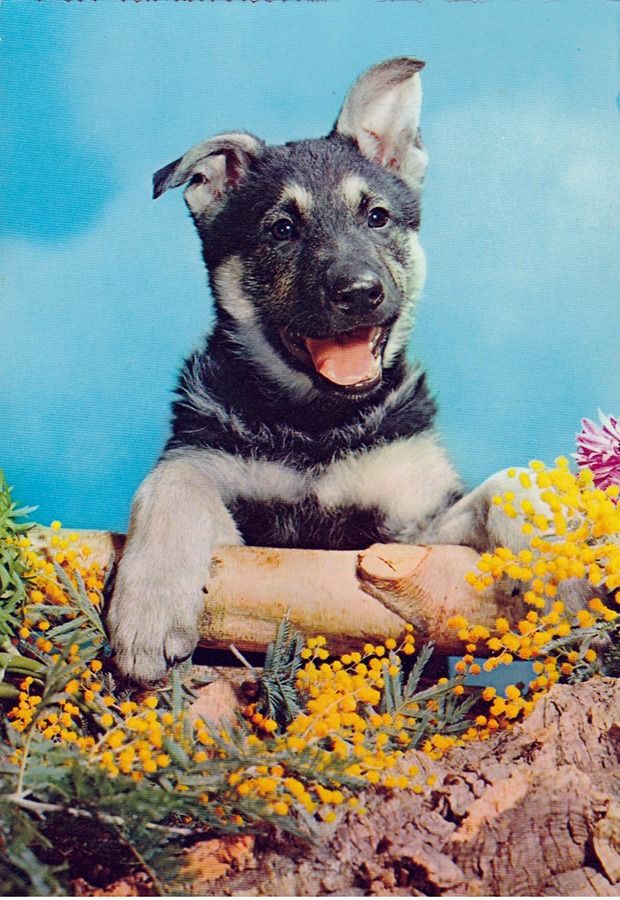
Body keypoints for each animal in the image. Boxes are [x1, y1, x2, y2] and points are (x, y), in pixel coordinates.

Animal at [108, 58, 537, 683]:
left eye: (378, 217)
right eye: (282, 228)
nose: (359, 293)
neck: (316, 424)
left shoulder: (413, 539)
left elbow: (505, 487)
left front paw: (558, 553)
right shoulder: (226, 501)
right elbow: (171, 484)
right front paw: (149, 606)